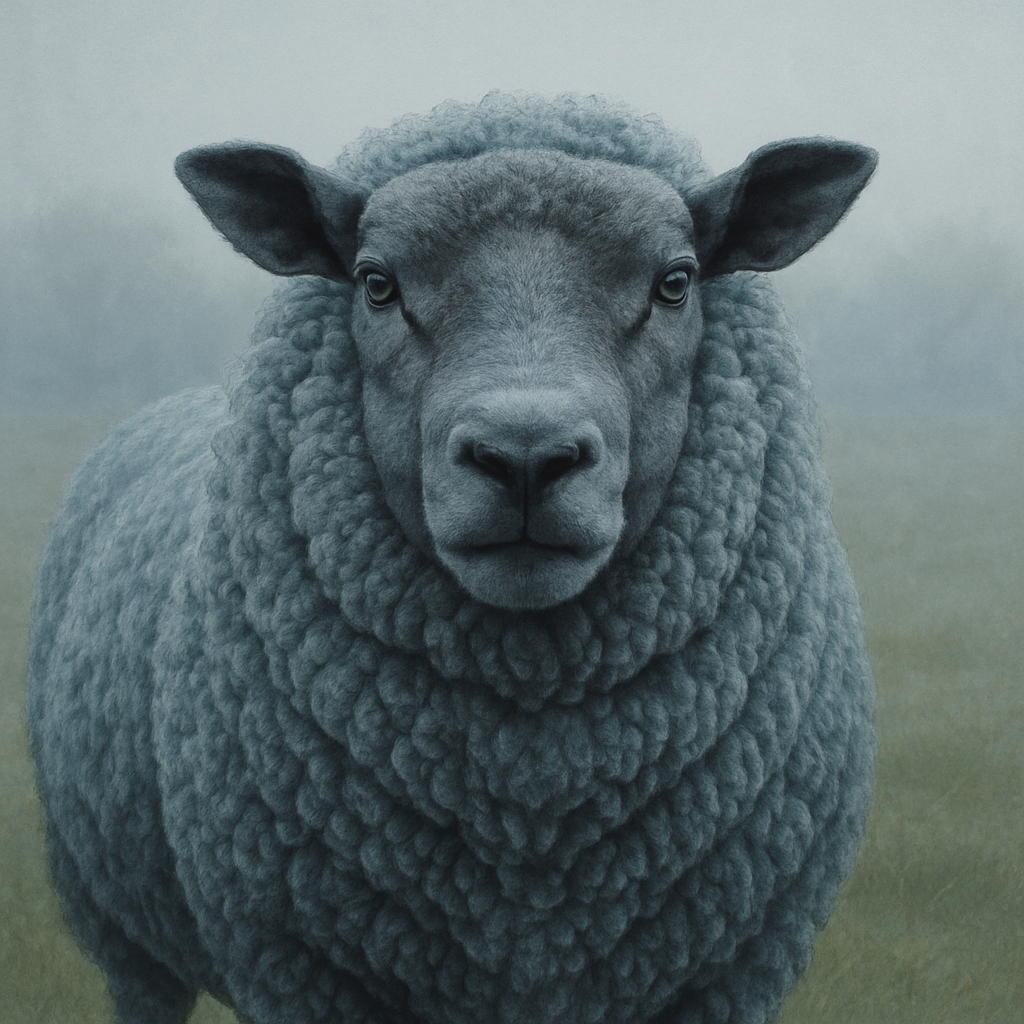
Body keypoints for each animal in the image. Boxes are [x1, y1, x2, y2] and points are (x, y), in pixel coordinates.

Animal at [28, 93, 876, 1024]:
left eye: (676, 282)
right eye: (376, 283)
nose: (526, 457)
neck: (528, 818)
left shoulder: (725, 979)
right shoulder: (304, 975)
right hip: (118, 924)